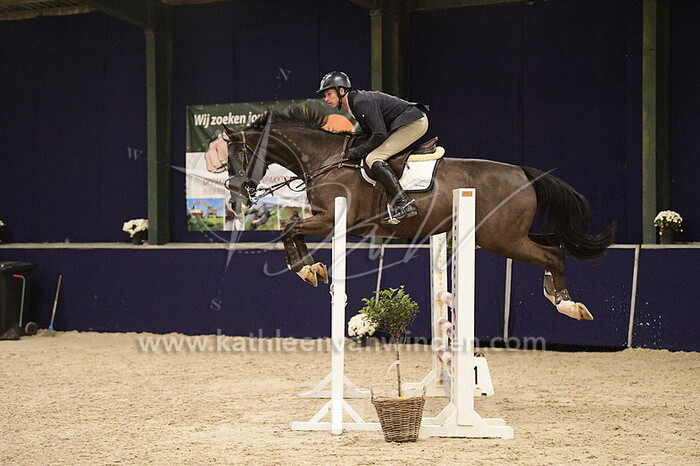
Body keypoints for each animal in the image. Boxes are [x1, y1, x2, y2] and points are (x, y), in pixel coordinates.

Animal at [208, 104, 616, 321]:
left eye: (236, 157)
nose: (236, 199)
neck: (325, 159)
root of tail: (524, 173)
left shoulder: (335, 219)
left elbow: (289, 229)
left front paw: (307, 269)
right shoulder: (329, 220)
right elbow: (292, 232)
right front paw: (312, 269)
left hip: (500, 238)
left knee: (552, 254)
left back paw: (568, 304)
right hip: (511, 234)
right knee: (554, 245)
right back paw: (558, 296)